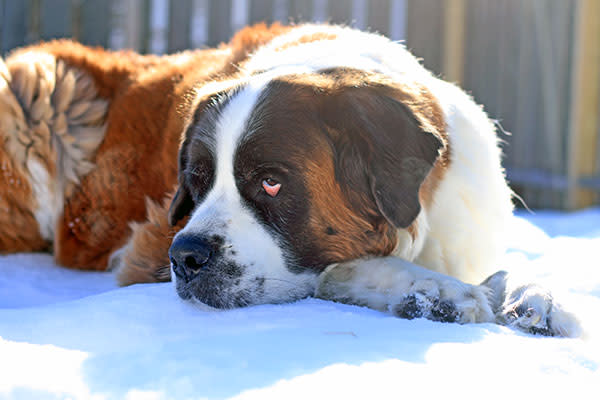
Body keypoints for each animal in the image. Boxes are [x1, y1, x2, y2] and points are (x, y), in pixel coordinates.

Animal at [0, 23, 580, 336]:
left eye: (272, 183)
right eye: (196, 180)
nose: (184, 258)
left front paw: (536, 298)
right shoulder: (144, 250)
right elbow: (337, 269)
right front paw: (431, 292)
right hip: (37, 84)